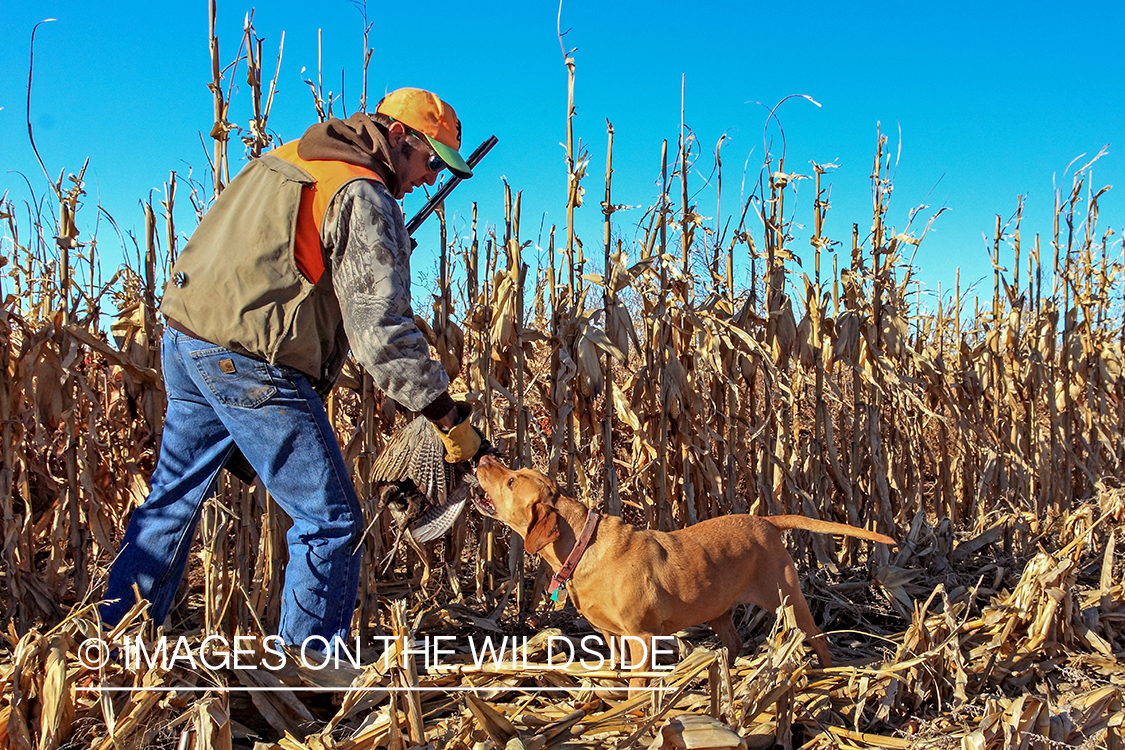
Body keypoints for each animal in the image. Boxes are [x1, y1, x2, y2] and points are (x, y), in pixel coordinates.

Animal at [474, 454, 895, 670]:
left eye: (511, 480)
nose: (485, 457)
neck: (580, 544)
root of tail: (765, 520)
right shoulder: (611, 635)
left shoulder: (642, 637)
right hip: (718, 608)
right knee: (734, 641)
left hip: (787, 598)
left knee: (816, 635)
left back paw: (826, 672)